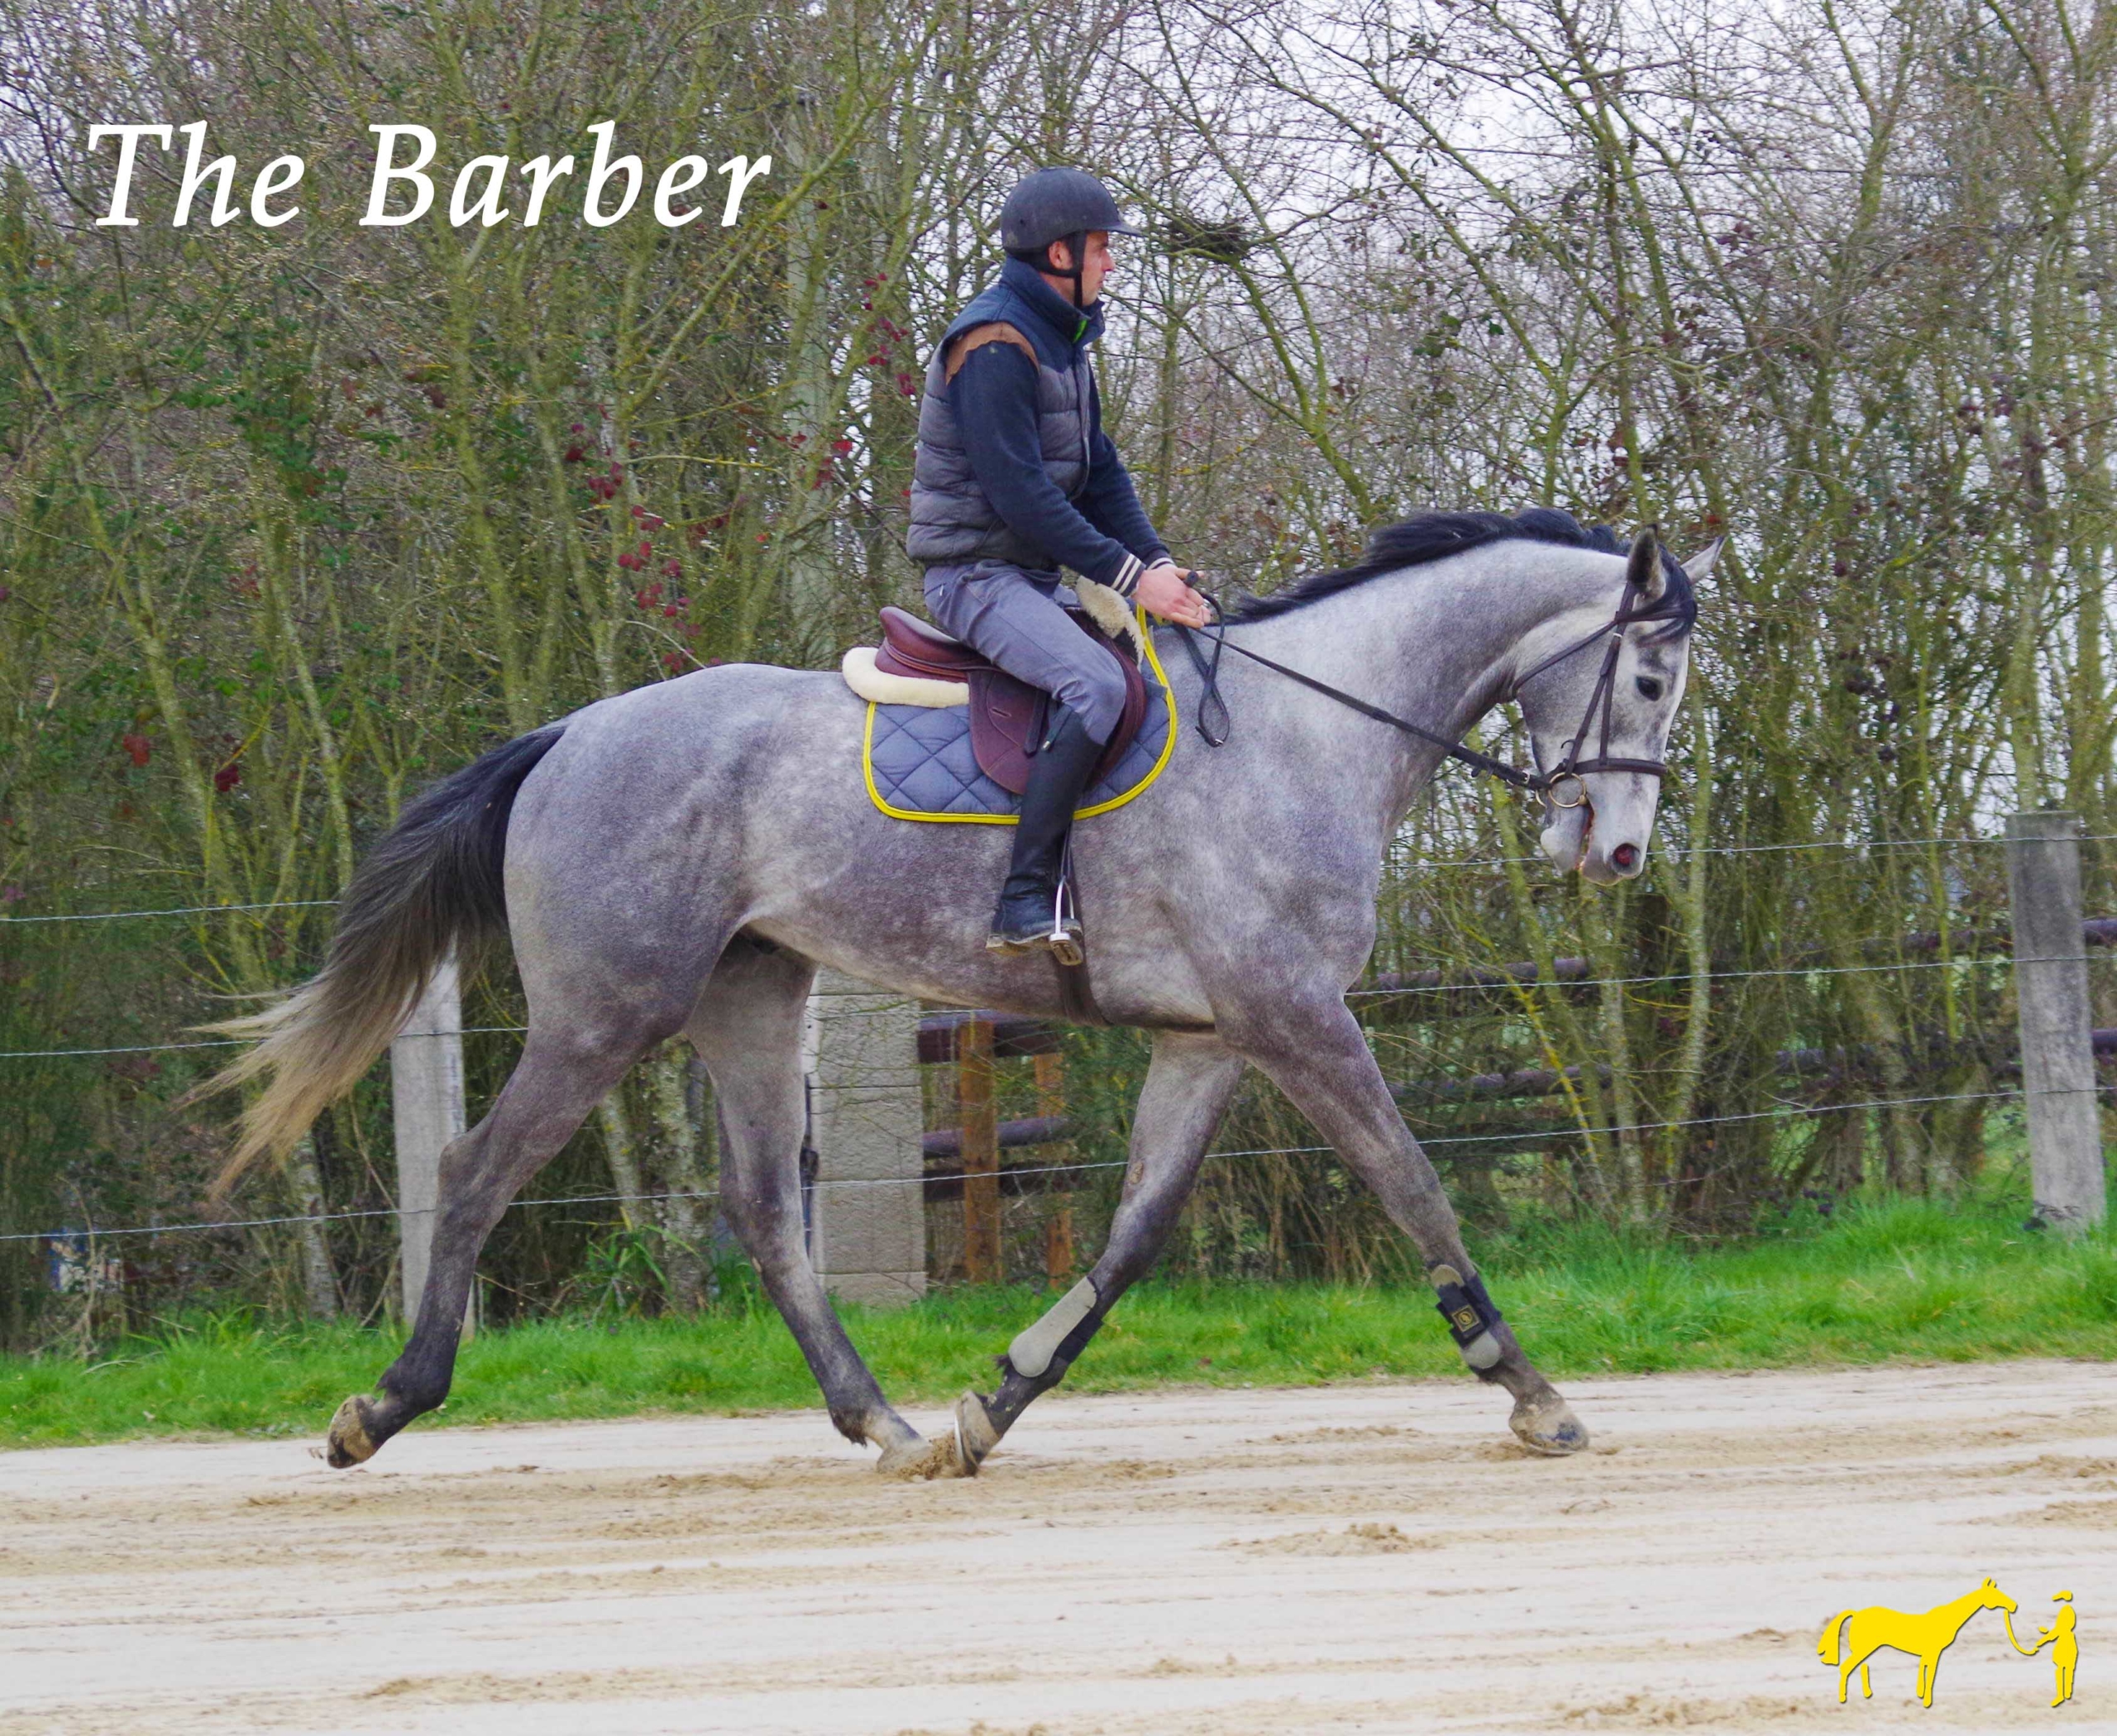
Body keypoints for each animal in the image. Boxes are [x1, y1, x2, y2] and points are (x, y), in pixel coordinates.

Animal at [206, 505, 1710, 1481]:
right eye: (1647, 673)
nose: (1621, 854)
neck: (1308, 728)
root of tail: (571, 731)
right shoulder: (1296, 1018)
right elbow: (1414, 1183)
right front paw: (1531, 1389)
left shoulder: (1214, 1039)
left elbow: (1134, 1231)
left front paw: (999, 1397)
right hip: (604, 1011)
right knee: (476, 1169)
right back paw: (384, 1403)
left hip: (752, 1000)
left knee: (766, 1209)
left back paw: (884, 1421)